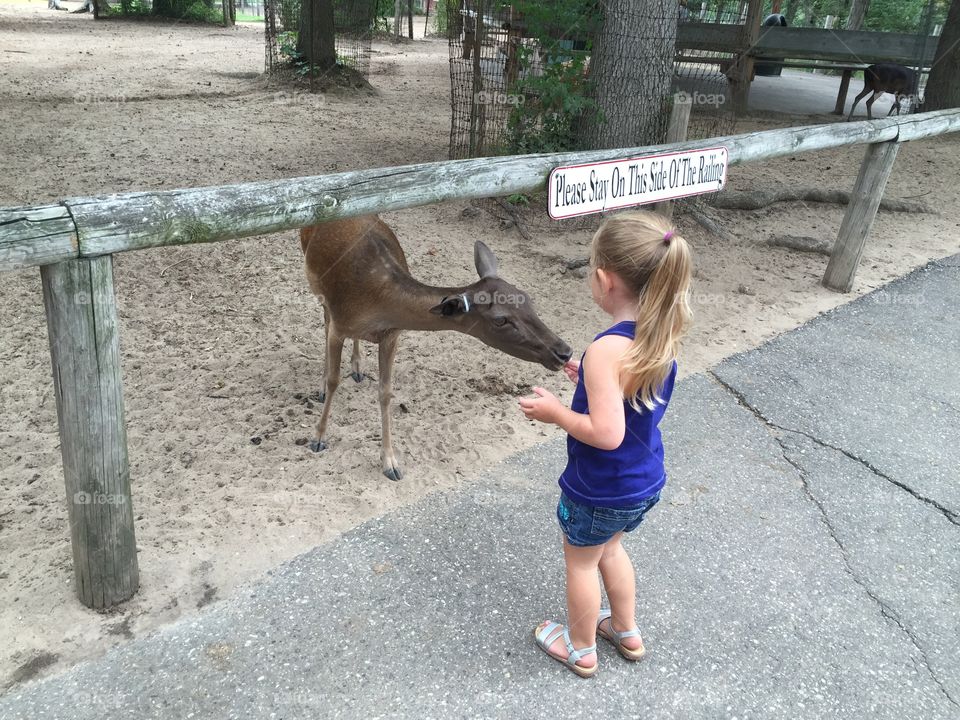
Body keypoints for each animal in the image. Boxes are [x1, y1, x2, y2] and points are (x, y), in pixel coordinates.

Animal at [300, 214, 573, 481]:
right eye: (500, 320)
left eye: (526, 298)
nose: (564, 352)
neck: (376, 303)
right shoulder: (340, 324)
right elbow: (334, 379)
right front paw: (318, 437)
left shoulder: (392, 335)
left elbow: (386, 393)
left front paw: (391, 463)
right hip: (316, 286)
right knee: (324, 321)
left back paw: (357, 367)